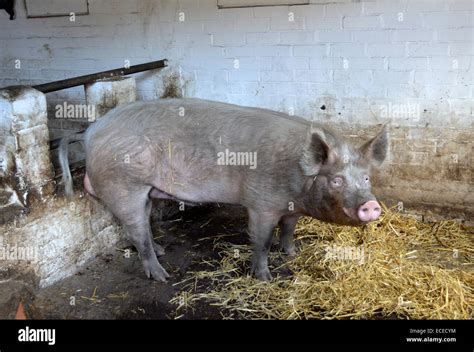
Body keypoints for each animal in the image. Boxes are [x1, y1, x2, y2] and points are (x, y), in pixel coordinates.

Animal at [59, 97, 386, 282]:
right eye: (336, 180)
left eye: (367, 178)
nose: (371, 205)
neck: (296, 177)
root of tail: (91, 130)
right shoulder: (261, 202)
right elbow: (261, 240)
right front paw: (264, 278)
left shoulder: (292, 206)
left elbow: (289, 229)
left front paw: (292, 253)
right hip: (123, 185)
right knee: (135, 230)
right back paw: (161, 276)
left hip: (145, 190)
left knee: (143, 225)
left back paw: (162, 252)